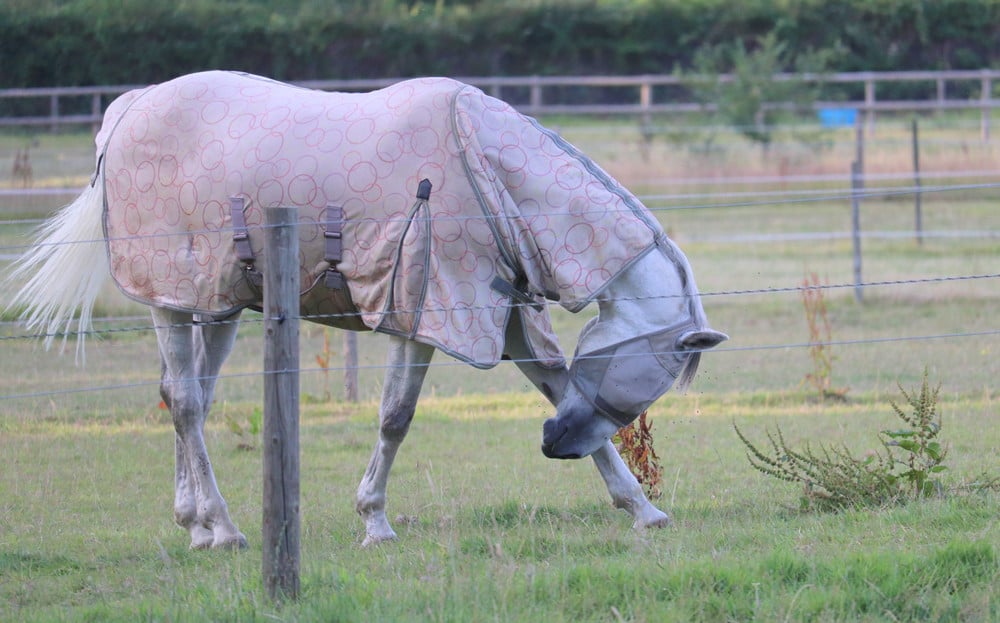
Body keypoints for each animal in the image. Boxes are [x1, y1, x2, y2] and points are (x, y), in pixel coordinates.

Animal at [6, 71, 727, 549]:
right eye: (648, 378)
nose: (556, 447)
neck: (493, 177)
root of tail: (127, 109)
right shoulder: (424, 311)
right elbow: (395, 417)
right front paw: (374, 518)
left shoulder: (506, 316)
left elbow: (555, 384)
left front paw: (641, 509)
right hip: (169, 300)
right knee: (184, 402)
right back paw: (227, 528)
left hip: (213, 305)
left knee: (189, 401)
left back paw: (197, 524)